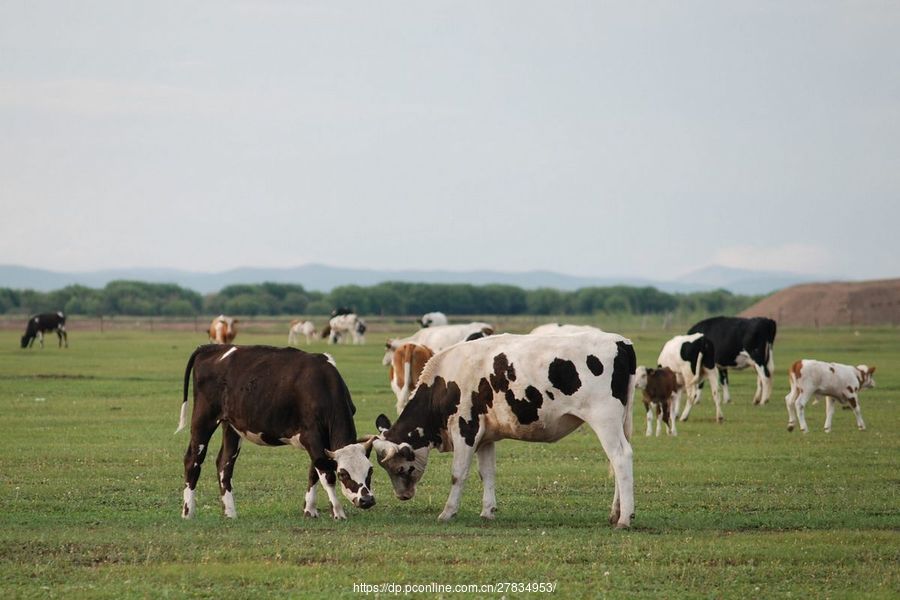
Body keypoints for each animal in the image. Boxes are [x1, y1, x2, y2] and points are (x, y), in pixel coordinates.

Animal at [176, 346, 376, 520]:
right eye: (343, 474)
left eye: (370, 470)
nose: (366, 500)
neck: (322, 384)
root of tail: (212, 347)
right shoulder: (311, 436)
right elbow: (326, 475)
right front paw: (338, 512)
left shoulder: (322, 442)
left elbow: (314, 472)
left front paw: (310, 510)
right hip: (204, 419)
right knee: (193, 460)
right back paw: (188, 512)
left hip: (232, 425)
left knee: (224, 464)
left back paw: (230, 513)